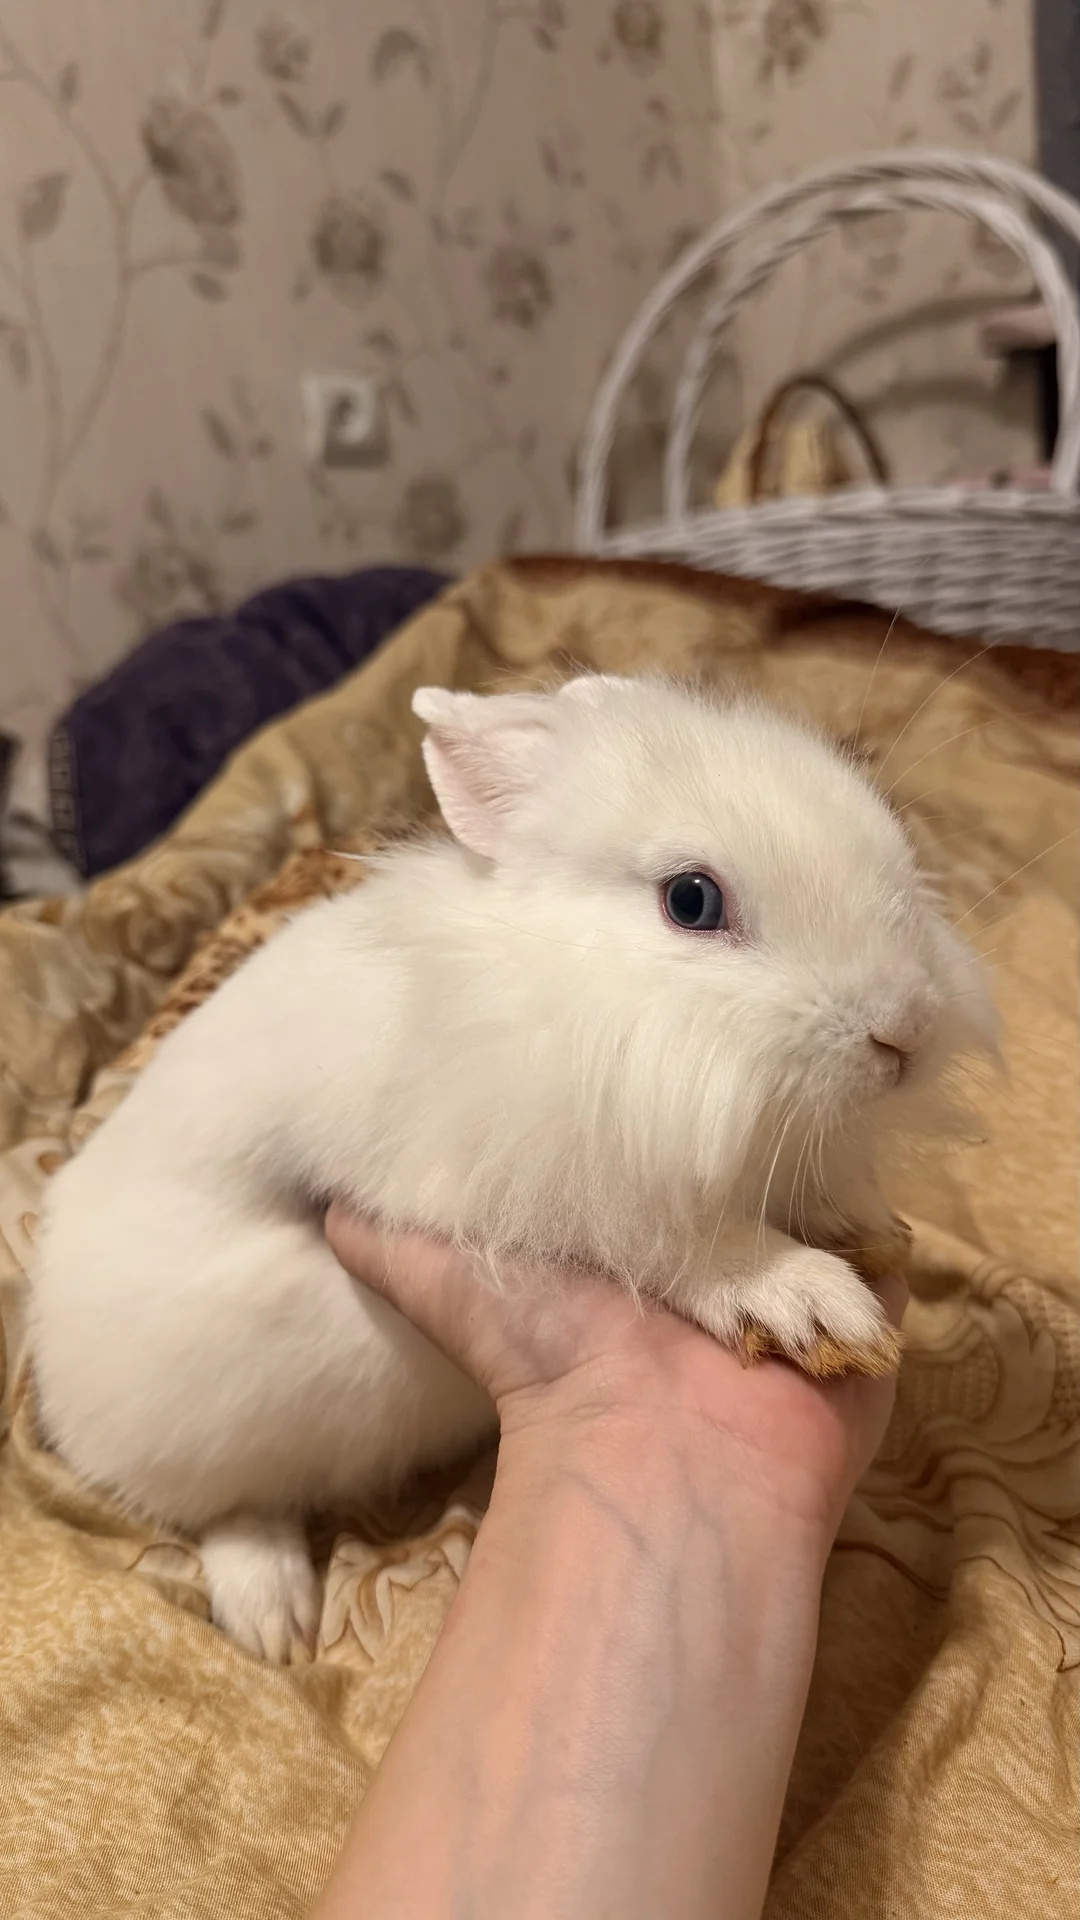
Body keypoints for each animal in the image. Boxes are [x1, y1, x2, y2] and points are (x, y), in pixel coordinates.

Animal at [31, 673, 995, 1660]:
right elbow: (684, 1244)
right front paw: (807, 1303)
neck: (566, 987)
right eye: (691, 901)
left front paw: (862, 1222)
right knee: (221, 1509)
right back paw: (275, 1619)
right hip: (218, 1413)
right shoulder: (553, 1191)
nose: (905, 1030)